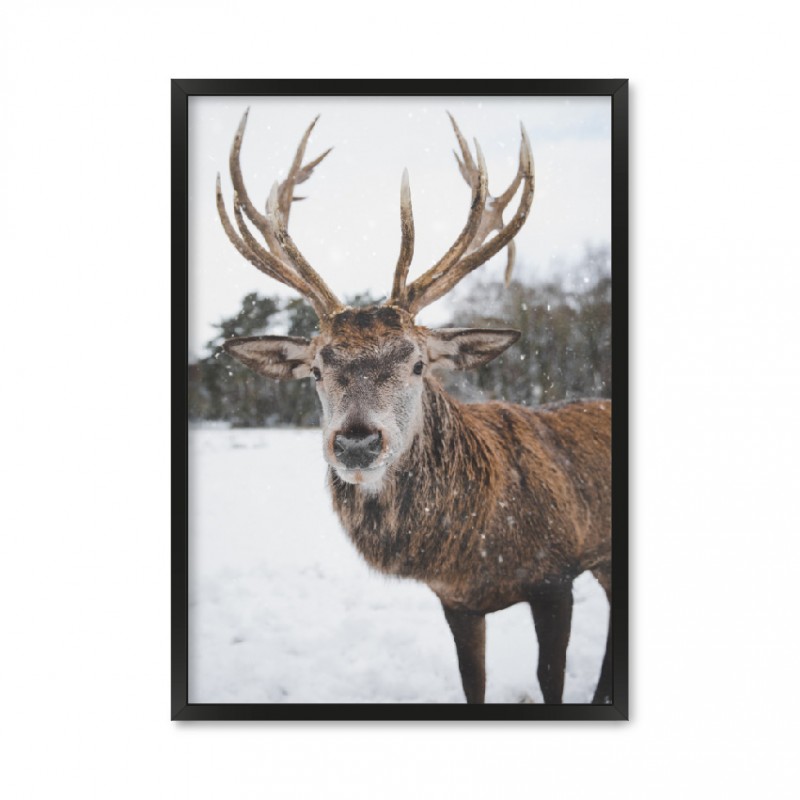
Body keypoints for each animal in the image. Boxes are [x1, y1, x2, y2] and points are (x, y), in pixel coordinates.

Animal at [215, 110, 612, 704]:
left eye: (419, 363)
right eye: (316, 370)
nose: (357, 441)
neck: (477, 548)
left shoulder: (557, 573)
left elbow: (550, 679)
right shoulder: (456, 601)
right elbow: (473, 683)